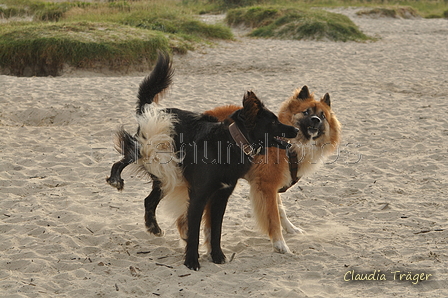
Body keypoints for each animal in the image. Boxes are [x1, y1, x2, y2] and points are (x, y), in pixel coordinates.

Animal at [107, 52, 298, 272]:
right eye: (274, 122)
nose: (296, 130)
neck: (230, 143)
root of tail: (153, 111)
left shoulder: (221, 196)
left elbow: (216, 230)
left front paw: (217, 256)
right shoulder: (199, 195)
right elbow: (195, 230)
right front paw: (191, 261)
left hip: (168, 174)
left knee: (149, 200)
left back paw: (153, 226)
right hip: (153, 151)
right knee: (126, 154)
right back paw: (115, 179)